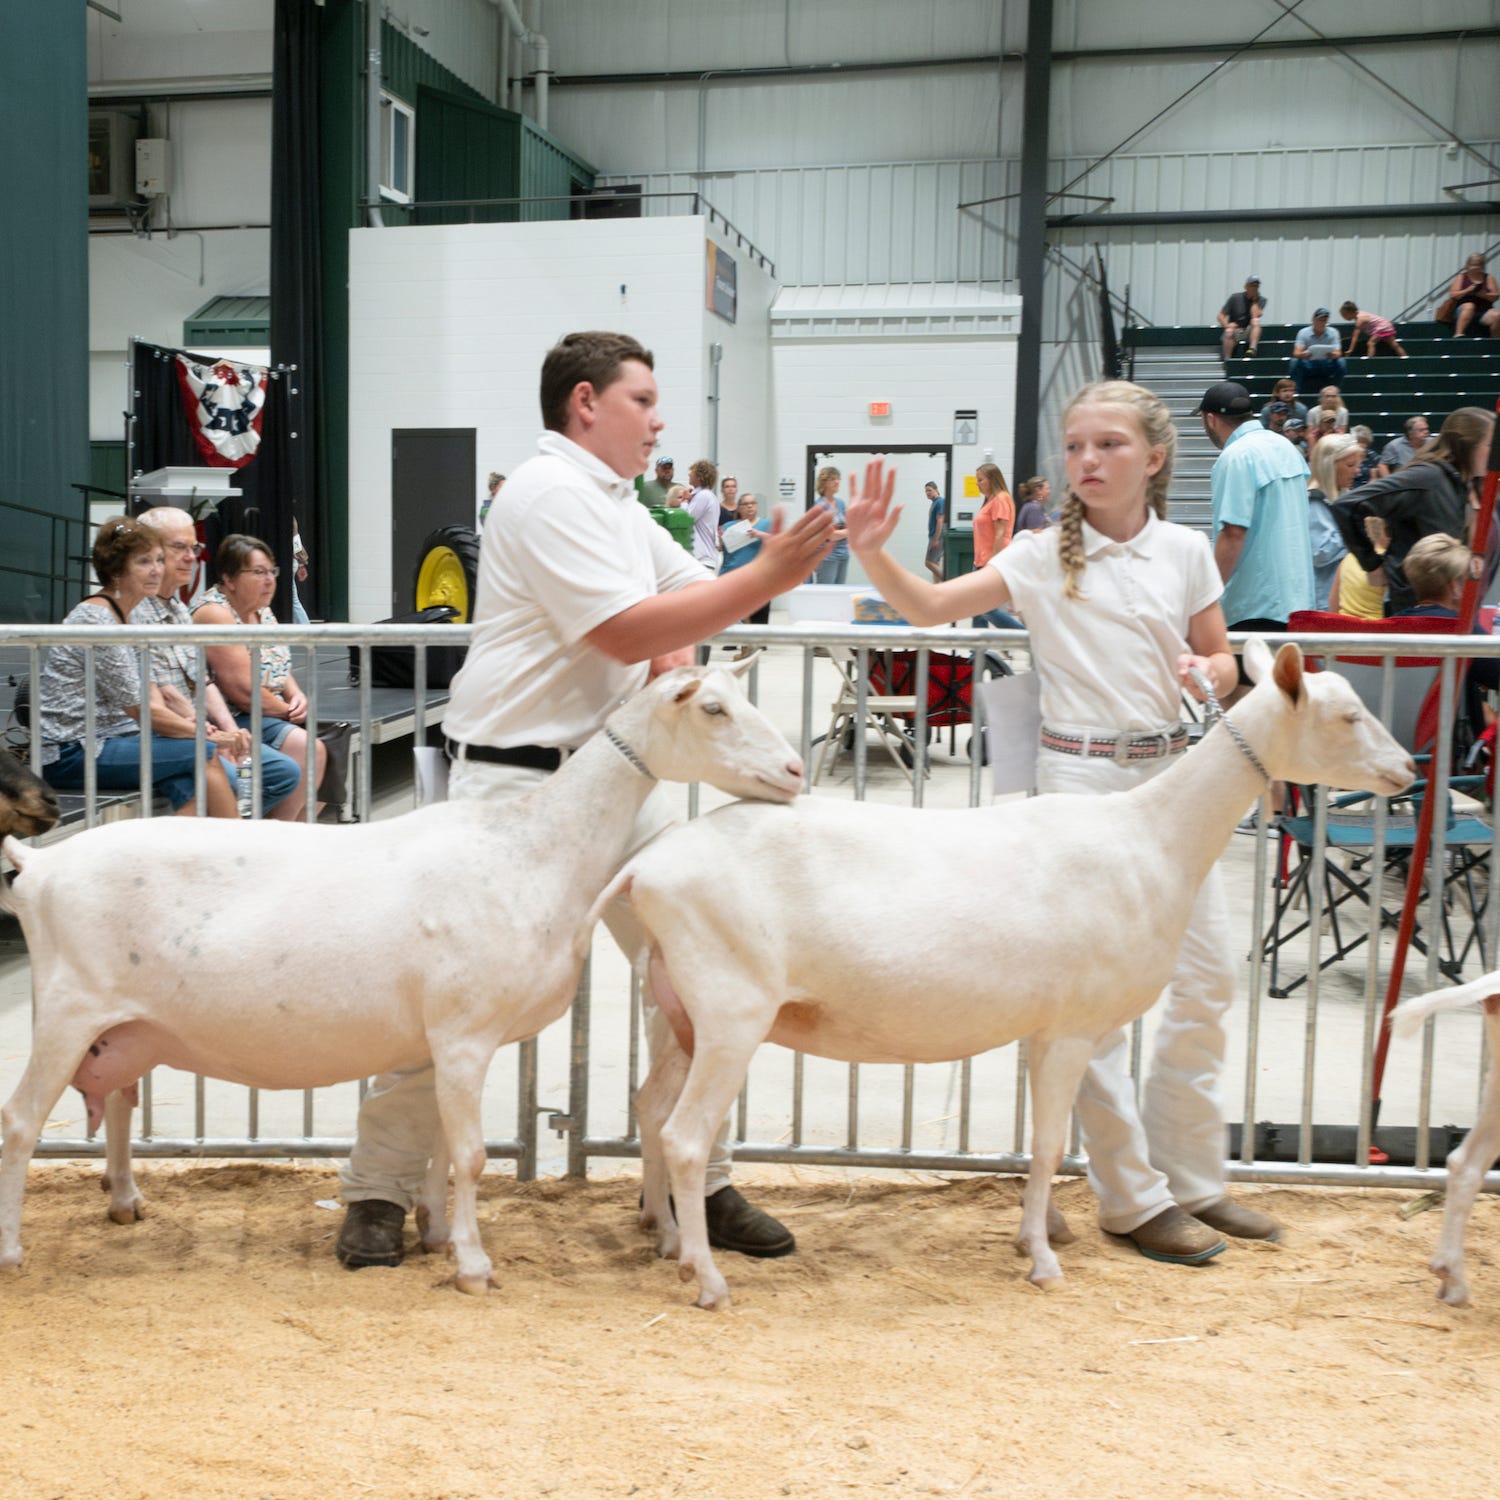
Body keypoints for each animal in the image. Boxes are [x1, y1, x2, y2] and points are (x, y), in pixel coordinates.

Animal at [0, 663, 810, 1296]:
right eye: (713, 709)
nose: (796, 773)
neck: (533, 849)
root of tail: (39, 866)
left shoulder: (440, 1041)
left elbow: (440, 1149)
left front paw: (438, 1236)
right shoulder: (465, 1034)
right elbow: (472, 1155)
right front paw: (474, 1266)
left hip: (121, 1028)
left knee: (119, 1103)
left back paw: (125, 1200)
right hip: (66, 1011)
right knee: (19, 1123)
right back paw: (11, 1251)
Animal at [600, 639, 1416, 1308]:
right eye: (1348, 716)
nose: (1407, 768)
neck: (1152, 838)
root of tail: (645, 869)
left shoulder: (1040, 1026)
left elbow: (1038, 1142)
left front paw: (1035, 1236)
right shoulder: (1076, 1025)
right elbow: (1054, 1146)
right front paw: (1045, 1264)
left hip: (678, 1010)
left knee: (649, 1109)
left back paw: (667, 1240)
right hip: (732, 1012)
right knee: (685, 1135)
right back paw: (707, 1279)